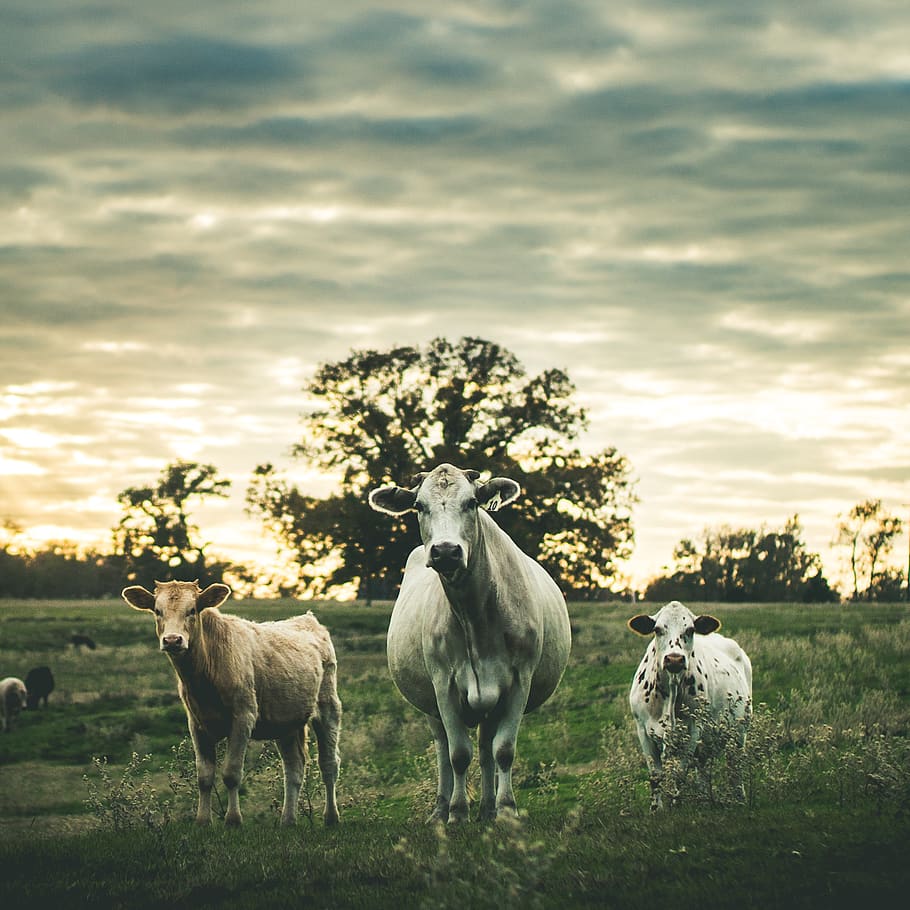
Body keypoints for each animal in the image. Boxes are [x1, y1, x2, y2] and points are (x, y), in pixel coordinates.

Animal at [121, 581, 342, 828]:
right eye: (157, 611)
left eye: (192, 610)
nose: (172, 640)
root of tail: (307, 619)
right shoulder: (196, 724)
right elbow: (204, 776)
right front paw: (202, 821)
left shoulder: (243, 717)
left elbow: (231, 773)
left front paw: (233, 819)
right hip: (286, 721)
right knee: (294, 768)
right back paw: (288, 820)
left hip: (328, 706)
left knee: (329, 764)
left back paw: (331, 817)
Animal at [369, 464, 572, 823]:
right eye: (419, 506)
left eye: (472, 503)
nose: (446, 551)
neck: (476, 615)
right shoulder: (443, 685)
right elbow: (458, 754)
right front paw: (457, 812)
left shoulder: (519, 681)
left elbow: (503, 750)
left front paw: (506, 809)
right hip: (431, 706)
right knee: (442, 749)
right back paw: (441, 809)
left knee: (487, 747)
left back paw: (489, 808)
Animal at [627, 600, 752, 810]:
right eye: (657, 629)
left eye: (690, 630)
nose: (674, 659)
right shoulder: (642, 730)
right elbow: (655, 776)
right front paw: (656, 809)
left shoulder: (693, 730)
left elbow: (679, 773)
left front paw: (676, 806)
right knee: (702, 769)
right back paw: (702, 799)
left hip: (740, 731)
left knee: (735, 766)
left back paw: (739, 798)